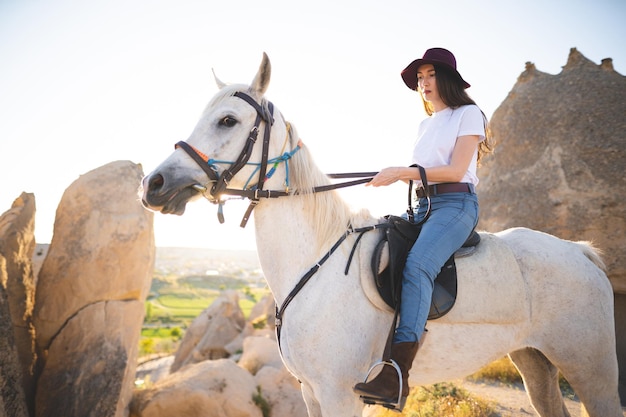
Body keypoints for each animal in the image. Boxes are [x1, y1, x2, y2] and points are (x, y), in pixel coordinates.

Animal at [140, 52, 620, 416]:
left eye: (227, 120)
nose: (153, 184)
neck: (317, 265)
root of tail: (579, 252)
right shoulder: (312, 393)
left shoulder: (339, 396)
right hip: (535, 361)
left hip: (591, 368)